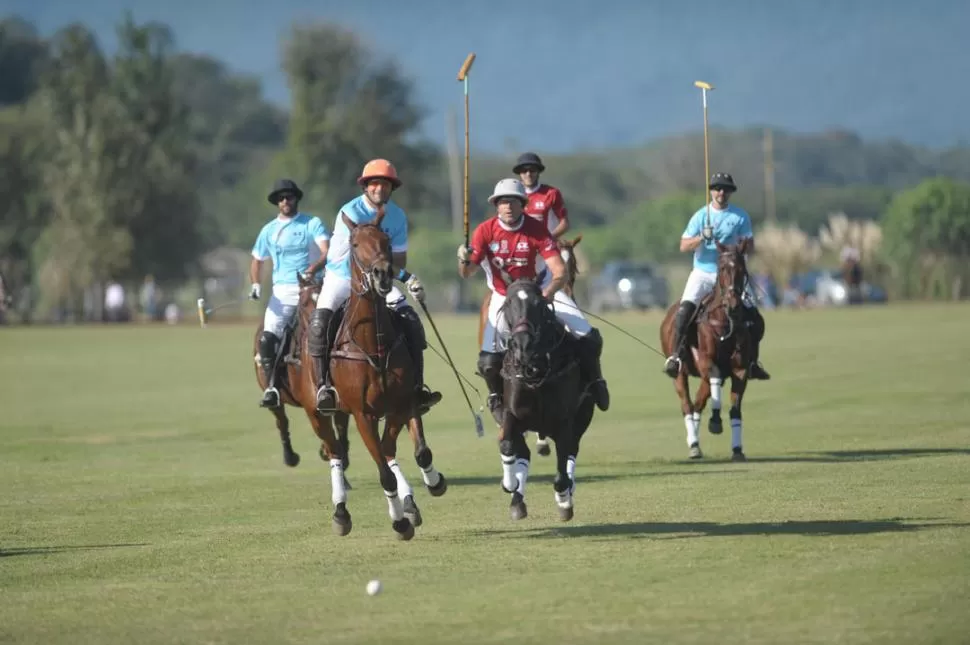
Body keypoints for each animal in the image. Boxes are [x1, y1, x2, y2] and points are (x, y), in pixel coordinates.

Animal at [310, 208, 446, 540]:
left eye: (386, 241)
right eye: (355, 244)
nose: (383, 274)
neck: (374, 343)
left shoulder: (400, 404)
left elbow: (404, 453)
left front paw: (426, 490)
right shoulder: (363, 414)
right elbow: (384, 471)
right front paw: (400, 522)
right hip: (318, 412)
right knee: (334, 451)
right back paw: (341, 513)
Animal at [496, 280, 592, 520]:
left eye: (539, 304)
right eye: (508, 303)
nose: (523, 345)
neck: (534, 367)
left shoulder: (564, 421)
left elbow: (561, 470)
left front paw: (564, 500)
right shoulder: (512, 414)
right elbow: (507, 445)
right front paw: (509, 484)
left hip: (583, 416)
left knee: (571, 451)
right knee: (524, 453)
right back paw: (517, 500)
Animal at [660, 239, 752, 460]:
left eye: (742, 269)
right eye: (722, 268)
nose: (733, 305)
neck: (724, 322)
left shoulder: (740, 369)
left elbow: (735, 409)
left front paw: (737, 449)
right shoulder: (707, 362)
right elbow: (715, 379)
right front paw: (716, 421)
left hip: (703, 376)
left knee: (697, 404)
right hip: (680, 371)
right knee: (687, 405)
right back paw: (693, 444)